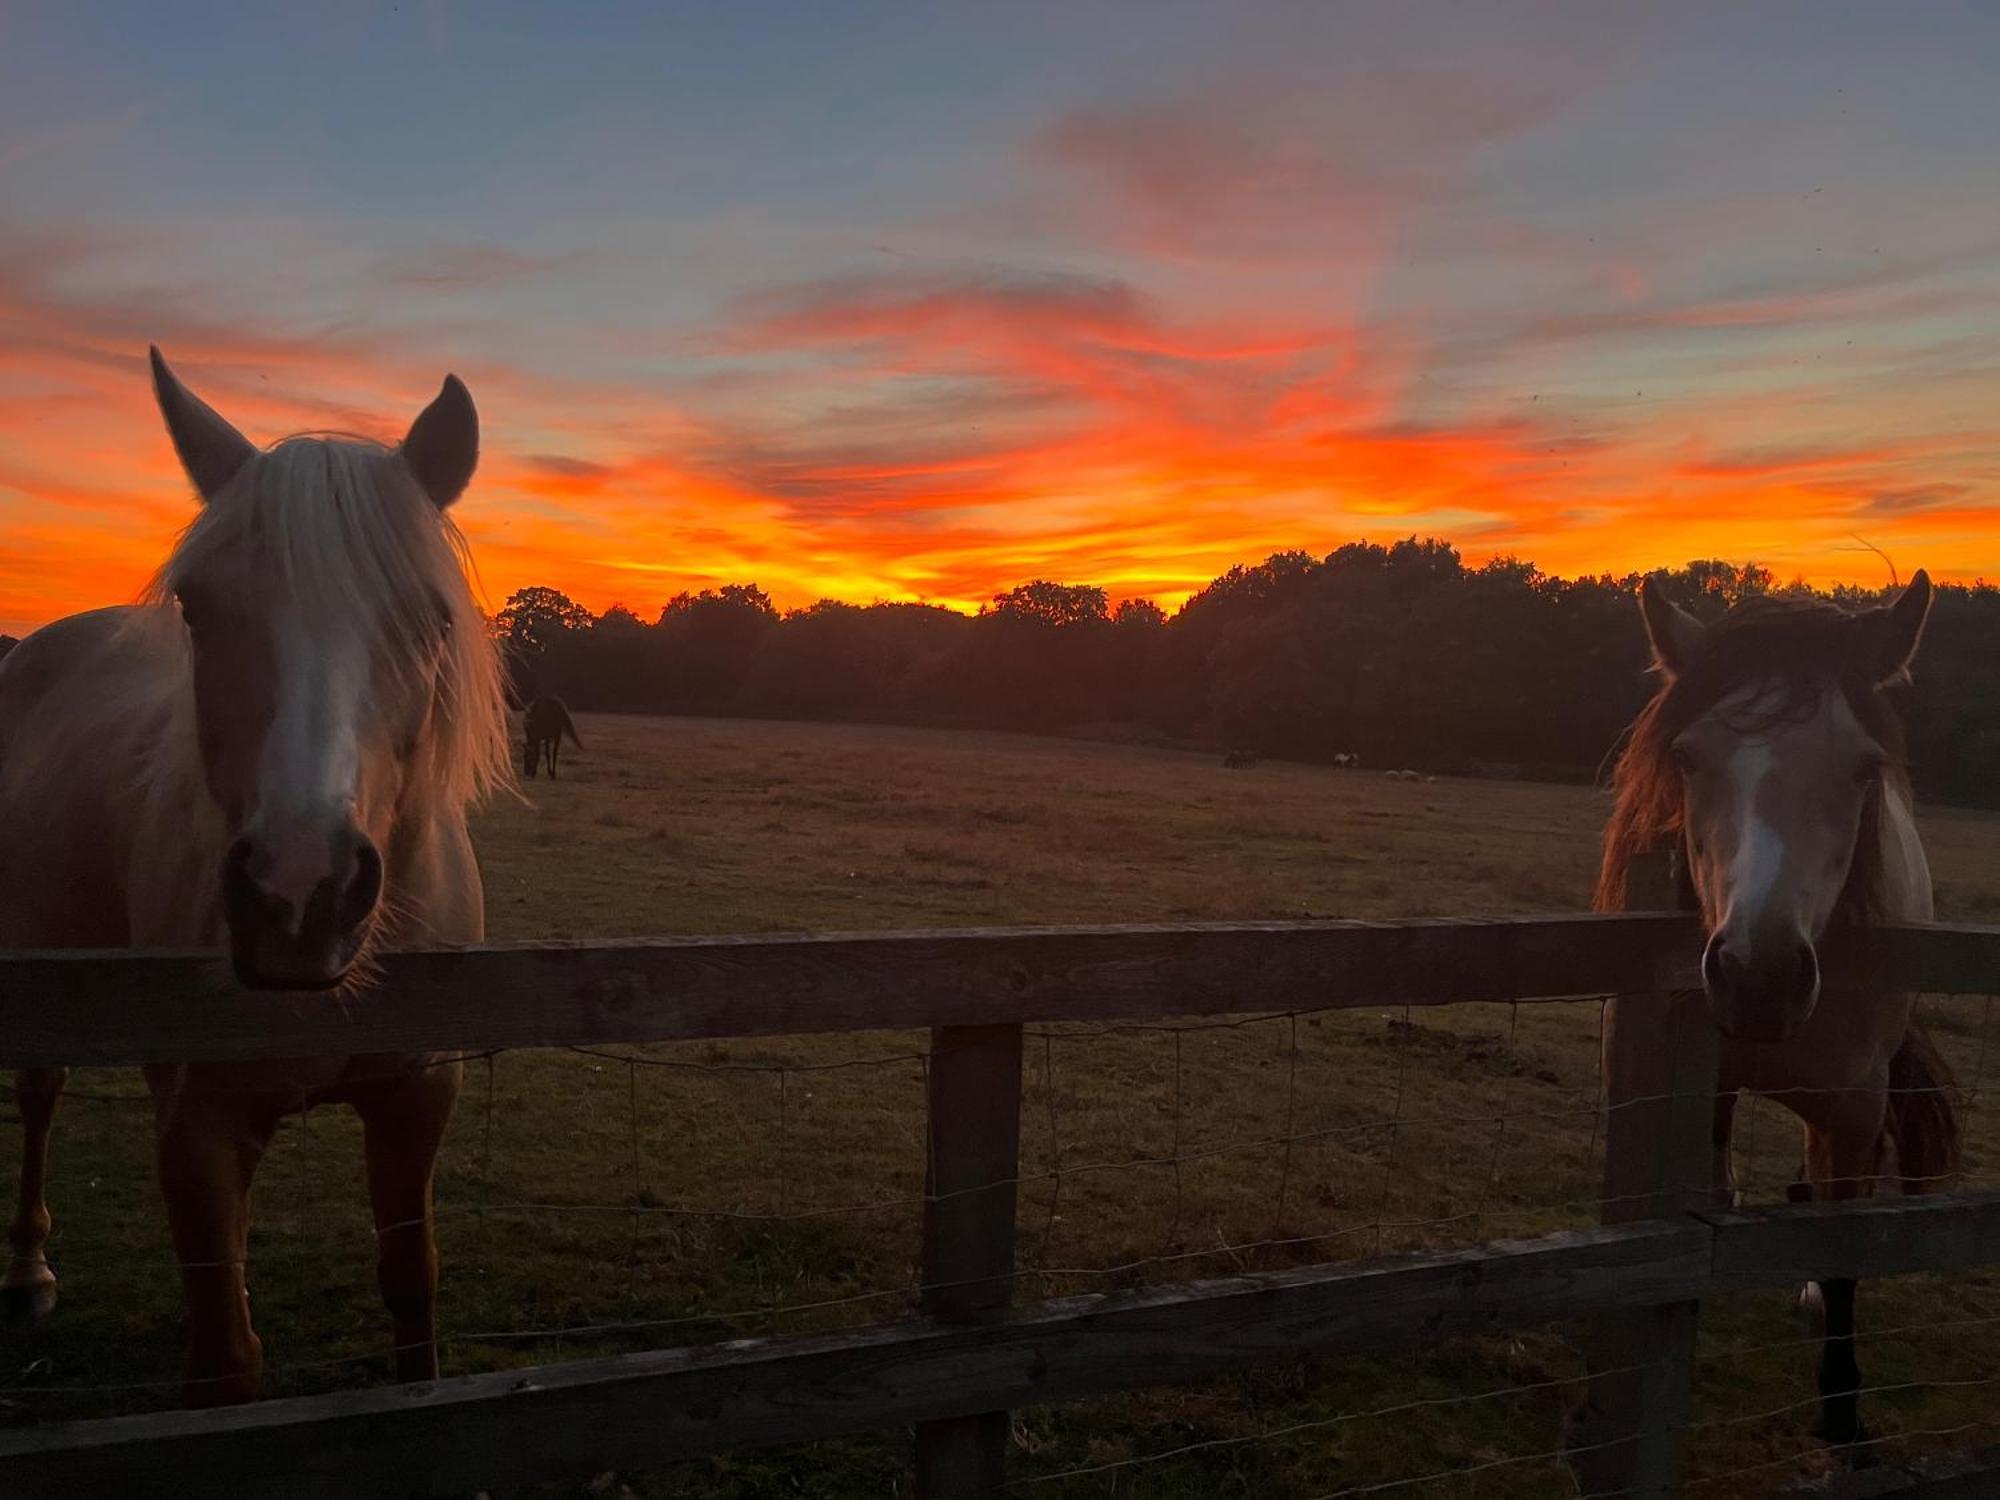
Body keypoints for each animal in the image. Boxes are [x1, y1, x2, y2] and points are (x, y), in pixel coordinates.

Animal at [0, 352, 512, 1408]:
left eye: (432, 617)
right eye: (199, 608)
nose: (297, 894)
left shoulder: (416, 1101)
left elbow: (412, 1287)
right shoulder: (195, 1129)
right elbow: (225, 1362)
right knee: (38, 1093)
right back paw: (26, 1270)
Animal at [1600, 568, 1960, 1448]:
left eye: (1864, 769)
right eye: (1686, 758)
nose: (1758, 977)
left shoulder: (1856, 1110)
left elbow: (1841, 1246)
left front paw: (1842, 1412)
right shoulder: (1693, 1083)